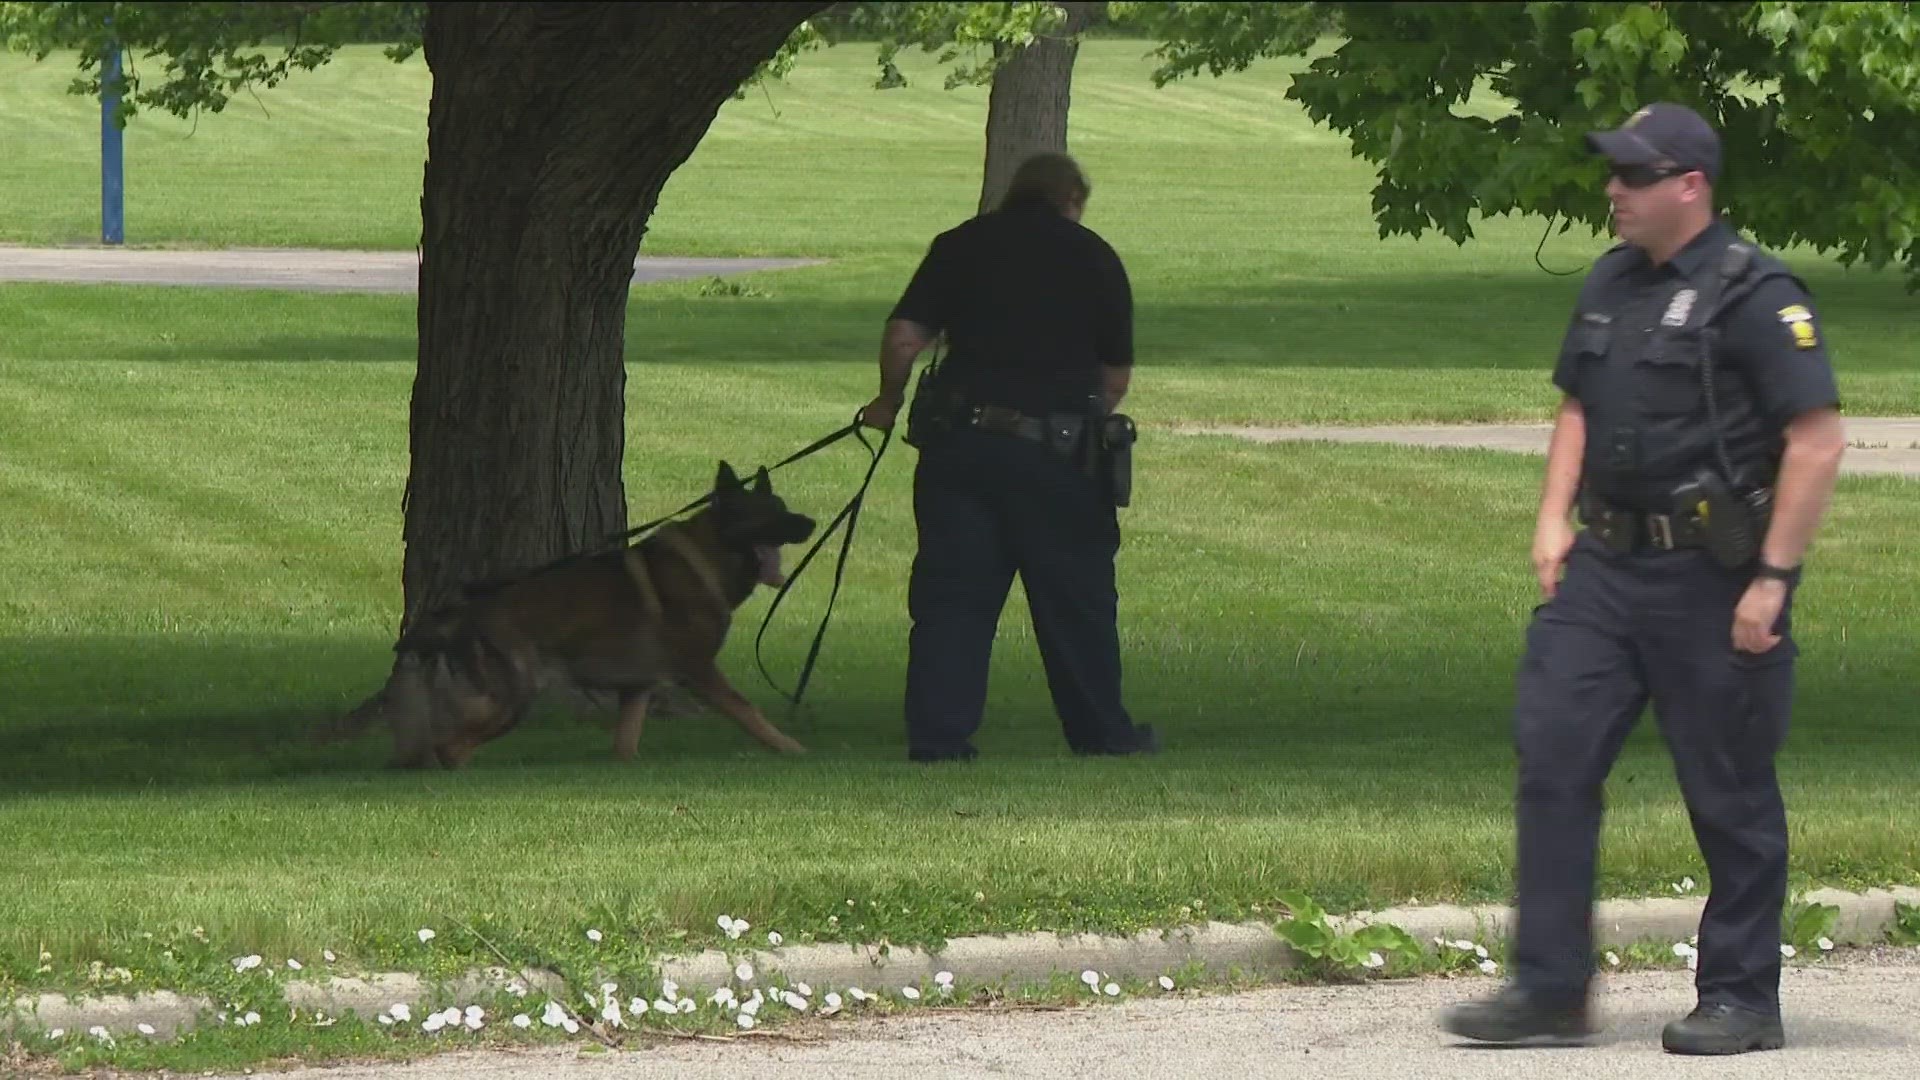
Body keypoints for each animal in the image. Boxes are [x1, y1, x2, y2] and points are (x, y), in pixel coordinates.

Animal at [337, 461, 817, 764]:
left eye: (783, 507)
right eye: (767, 514)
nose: (811, 523)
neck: (711, 555)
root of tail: (468, 610)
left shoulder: (637, 688)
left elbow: (625, 746)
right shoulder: (700, 672)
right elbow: (750, 712)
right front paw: (791, 748)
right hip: (513, 697)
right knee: (450, 745)